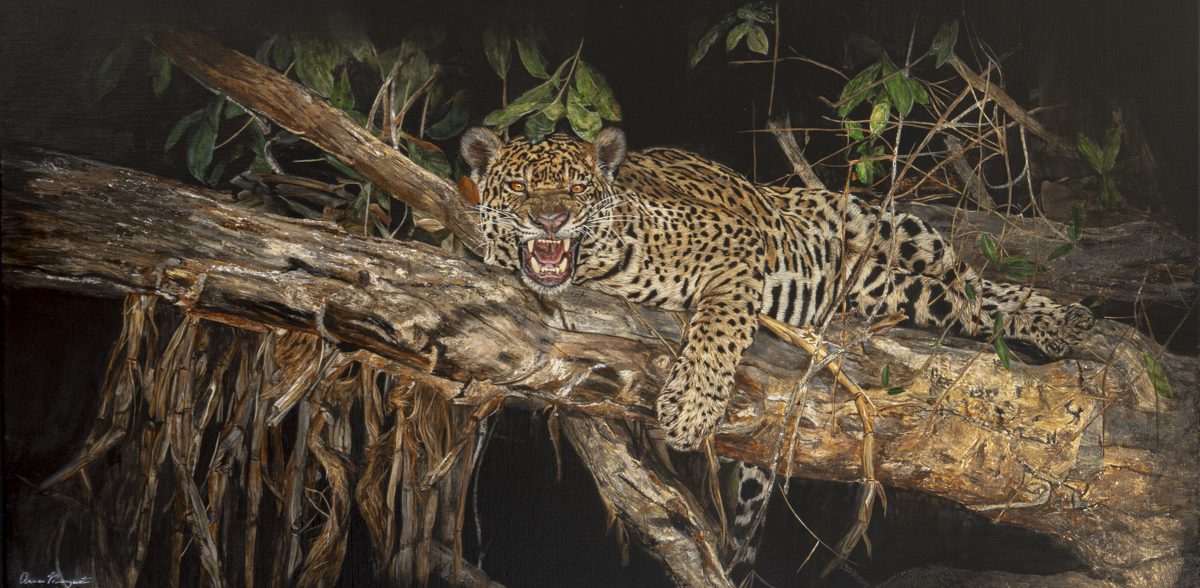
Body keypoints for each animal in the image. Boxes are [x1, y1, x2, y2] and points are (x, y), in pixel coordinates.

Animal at [459, 126, 1095, 565]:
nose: (550, 219)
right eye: (519, 187)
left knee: (970, 280)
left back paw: (1064, 320)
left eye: (577, 188)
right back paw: (1058, 322)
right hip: (879, 287)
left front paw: (691, 408)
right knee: (959, 300)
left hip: (888, 226)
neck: (593, 273)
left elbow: (721, 321)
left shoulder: (735, 242)